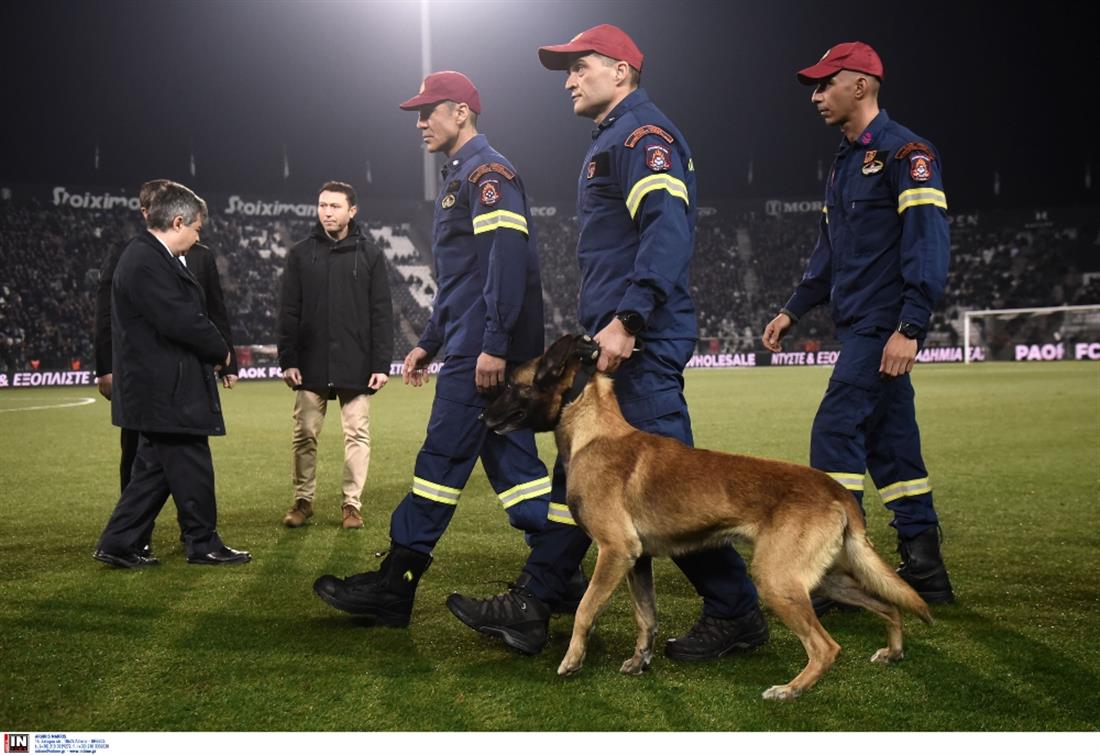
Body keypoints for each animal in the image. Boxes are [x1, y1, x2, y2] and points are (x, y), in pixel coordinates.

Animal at [481, 336, 928, 704]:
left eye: (512, 385)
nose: (483, 415)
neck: (592, 430)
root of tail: (836, 490)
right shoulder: (637, 562)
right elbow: (646, 618)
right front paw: (640, 661)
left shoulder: (616, 551)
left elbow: (585, 609)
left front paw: (573, 660)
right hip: (825, 579)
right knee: (890, 606)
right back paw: (893, 651)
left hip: (777, 580)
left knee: (826, 648)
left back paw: (790, 690)